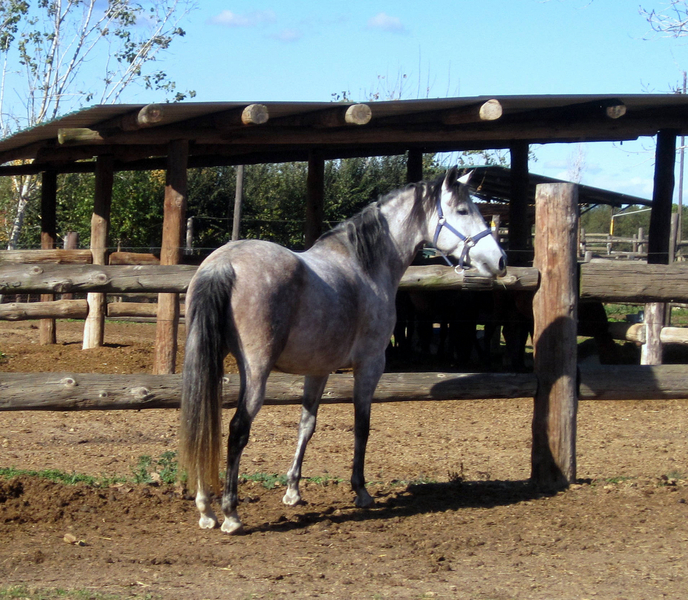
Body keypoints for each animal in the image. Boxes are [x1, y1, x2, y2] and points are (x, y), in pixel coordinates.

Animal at [178, 167, 507, 534]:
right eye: (463, 211)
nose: (500, 260)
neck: (365, 266)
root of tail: (224, 263)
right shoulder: (370, 365)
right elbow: (362, 425)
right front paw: (360, 490)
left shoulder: (318, 370)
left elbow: (306, 424)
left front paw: (293, 491)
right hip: (255, 371)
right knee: (237, 430)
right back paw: (231, 514)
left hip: (206, 362)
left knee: (202, 423)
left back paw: (206, 509)